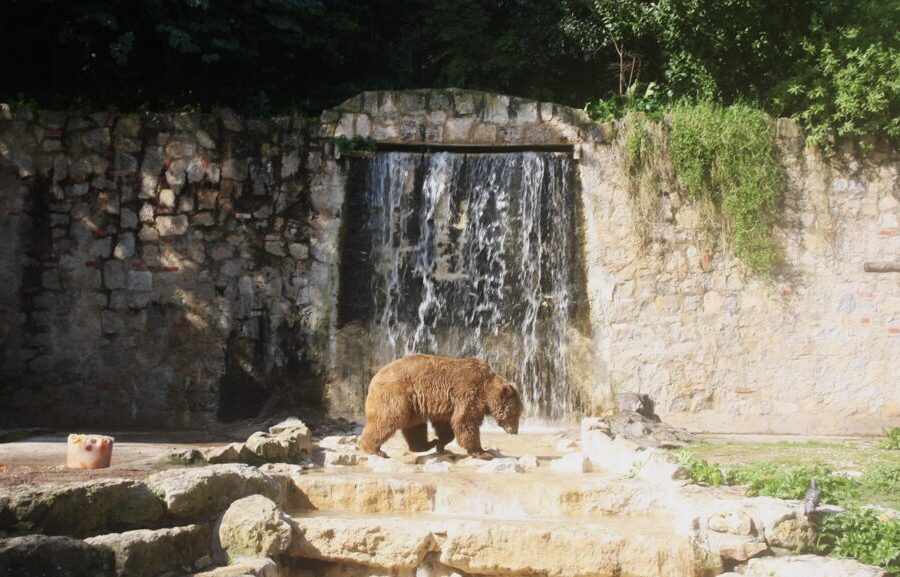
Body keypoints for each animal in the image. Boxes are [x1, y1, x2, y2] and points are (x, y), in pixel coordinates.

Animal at [358, 352, 524, 460]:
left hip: (413, 406)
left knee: (415, 427)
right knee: (387, 419)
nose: (515, 431)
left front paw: (440, 443)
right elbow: (466, 422)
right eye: (516, 414)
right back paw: (374, 449)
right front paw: (483, 452)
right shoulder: (468, 393)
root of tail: (375, 376)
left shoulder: (447, 405)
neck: (486, 390)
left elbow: (446, 425)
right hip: (397, 394)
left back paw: (427, 444)